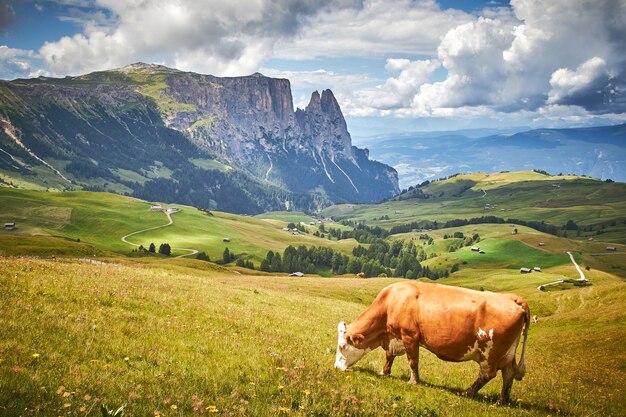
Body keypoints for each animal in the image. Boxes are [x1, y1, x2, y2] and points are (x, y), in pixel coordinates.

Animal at [332, 280, 528, 404]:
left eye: (342, 346)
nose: (336, 367)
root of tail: (513, 298)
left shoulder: (410, 336)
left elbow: (412, 361)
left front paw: (413, 381)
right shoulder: (395, 336)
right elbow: (389, 356)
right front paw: (384, 372)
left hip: (491, 352)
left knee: (488, 374)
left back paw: (466, 392)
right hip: (507, 352)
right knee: (508, 373)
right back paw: (502, 400)